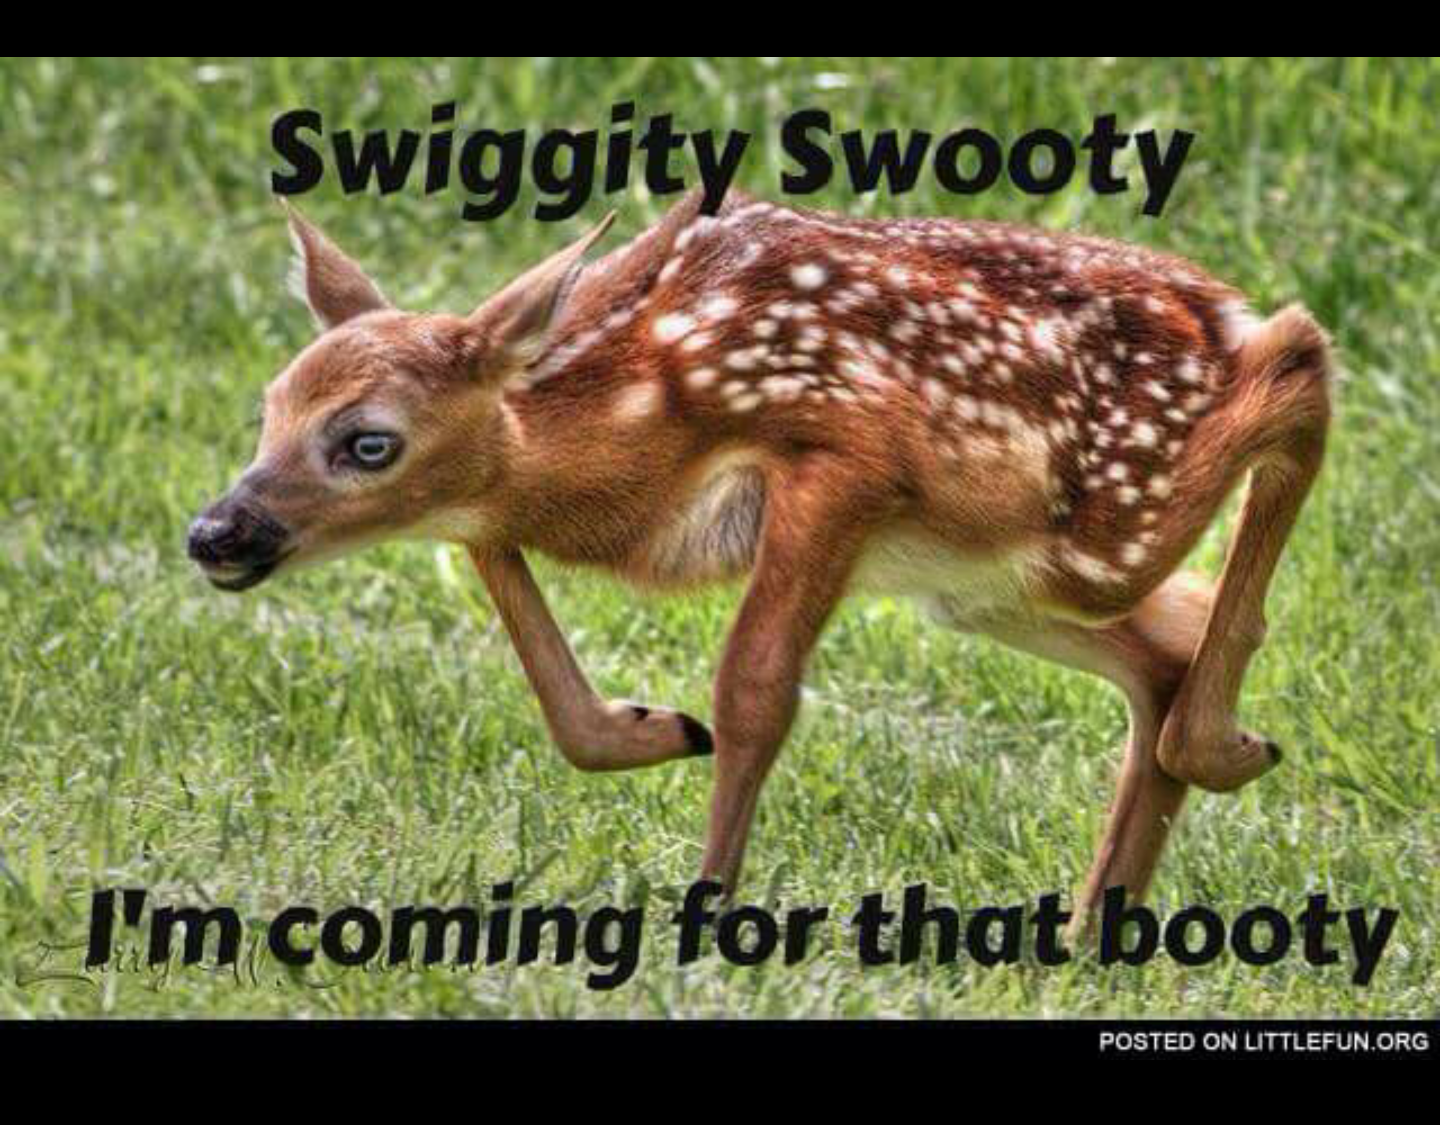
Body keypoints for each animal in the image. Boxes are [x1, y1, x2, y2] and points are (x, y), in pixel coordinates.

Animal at [189, 191, 1332, 938]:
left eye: (369, 441)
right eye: (271, 406)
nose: (216, 533)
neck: (640, 406)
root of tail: (1216, 309)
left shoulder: (844, 457)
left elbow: (754, 689)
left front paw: (708, 913)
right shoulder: (522, 503)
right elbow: (496, 552)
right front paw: (649, 729)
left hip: (1104, 523)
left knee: (1298, 358)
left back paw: (1219, 752)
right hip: (992, 584)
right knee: (1167, 648)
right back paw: (1093, 928)